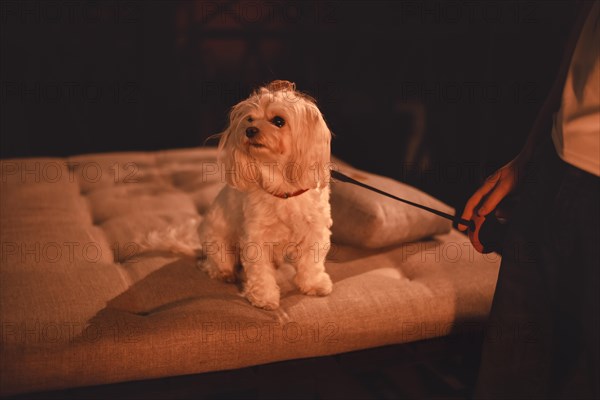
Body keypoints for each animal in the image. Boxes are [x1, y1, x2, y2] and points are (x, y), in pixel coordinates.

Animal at [199, 80, 336, 310]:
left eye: (279, 121)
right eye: (249, 119)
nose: (250, 130)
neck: (284, 189)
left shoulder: (314, 232)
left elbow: (312, 264)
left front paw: (314, 284)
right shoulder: (256, 238)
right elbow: (260, 271)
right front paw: (264, 297)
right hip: (218, 241)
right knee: (217, 262)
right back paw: (224, 272)